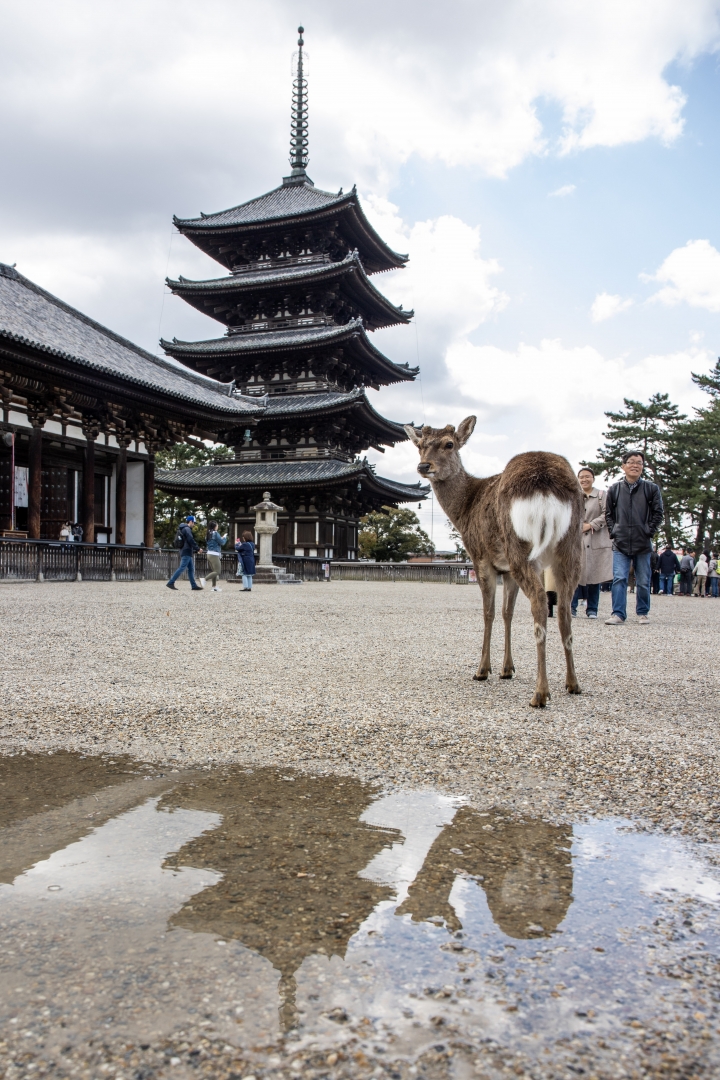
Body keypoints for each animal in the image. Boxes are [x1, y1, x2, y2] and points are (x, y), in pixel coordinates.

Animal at [405, 414, 587, 708]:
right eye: (419, 445)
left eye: (449, 444)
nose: (424, 466)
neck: (465, 509)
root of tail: (547, 484)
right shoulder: (507, 569)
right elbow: (506, 612)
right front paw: (507, 669)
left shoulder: (481, 557)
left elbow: (488, 612)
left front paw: (482, 670)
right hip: (571, 547)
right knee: (563, 607)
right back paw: (572, 683)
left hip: (521, 547)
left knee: (540, 600)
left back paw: (540, 693)